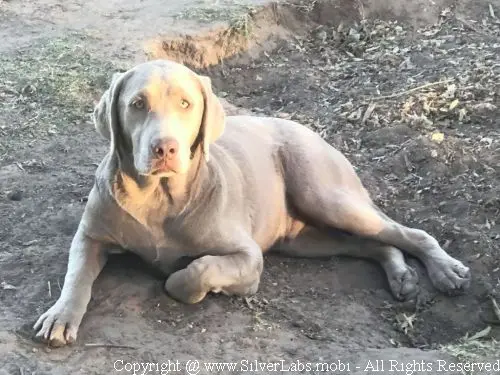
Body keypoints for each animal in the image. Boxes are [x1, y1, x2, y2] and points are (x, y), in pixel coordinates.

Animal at [33, 59, 470, 346]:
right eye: (137, 104)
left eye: (186, 104)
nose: (165, 148)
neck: (159, 198)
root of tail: (312, 131)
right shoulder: (90, 236)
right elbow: (76, 275)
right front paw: (60, 316)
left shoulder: (247, 256)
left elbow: (195, 272)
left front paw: (183, 279)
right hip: (305, 239)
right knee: (375, 242)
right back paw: (401, 275)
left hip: (323, 191)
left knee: (406, 232)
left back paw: (446, 271)